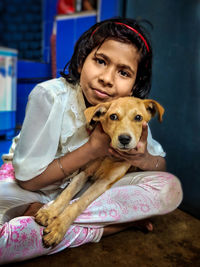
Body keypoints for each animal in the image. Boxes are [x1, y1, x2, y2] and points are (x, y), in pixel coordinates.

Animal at [35, 96, 165, 247]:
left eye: (138, 117)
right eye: (113, 116)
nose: (124, 139)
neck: (108, 156)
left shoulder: (104, 182)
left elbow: (79, 203)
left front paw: (59, 226)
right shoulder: (85, 172)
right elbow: (66, 193)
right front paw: (49, 212)